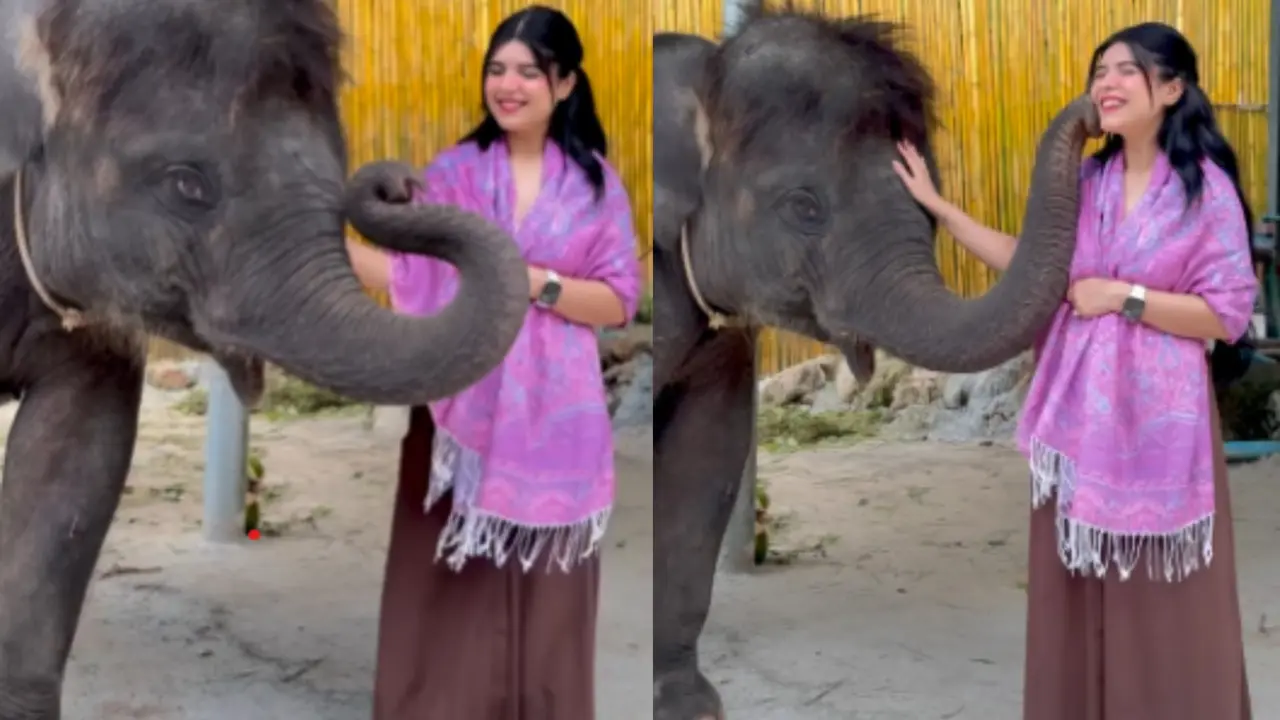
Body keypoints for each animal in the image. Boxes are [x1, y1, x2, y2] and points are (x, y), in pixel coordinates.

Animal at [653, 9, 1099, 719]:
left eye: (929, 200)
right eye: (804, 207)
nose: (1095, 107)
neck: (700, 71)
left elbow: (706, 452)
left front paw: (688, 704)